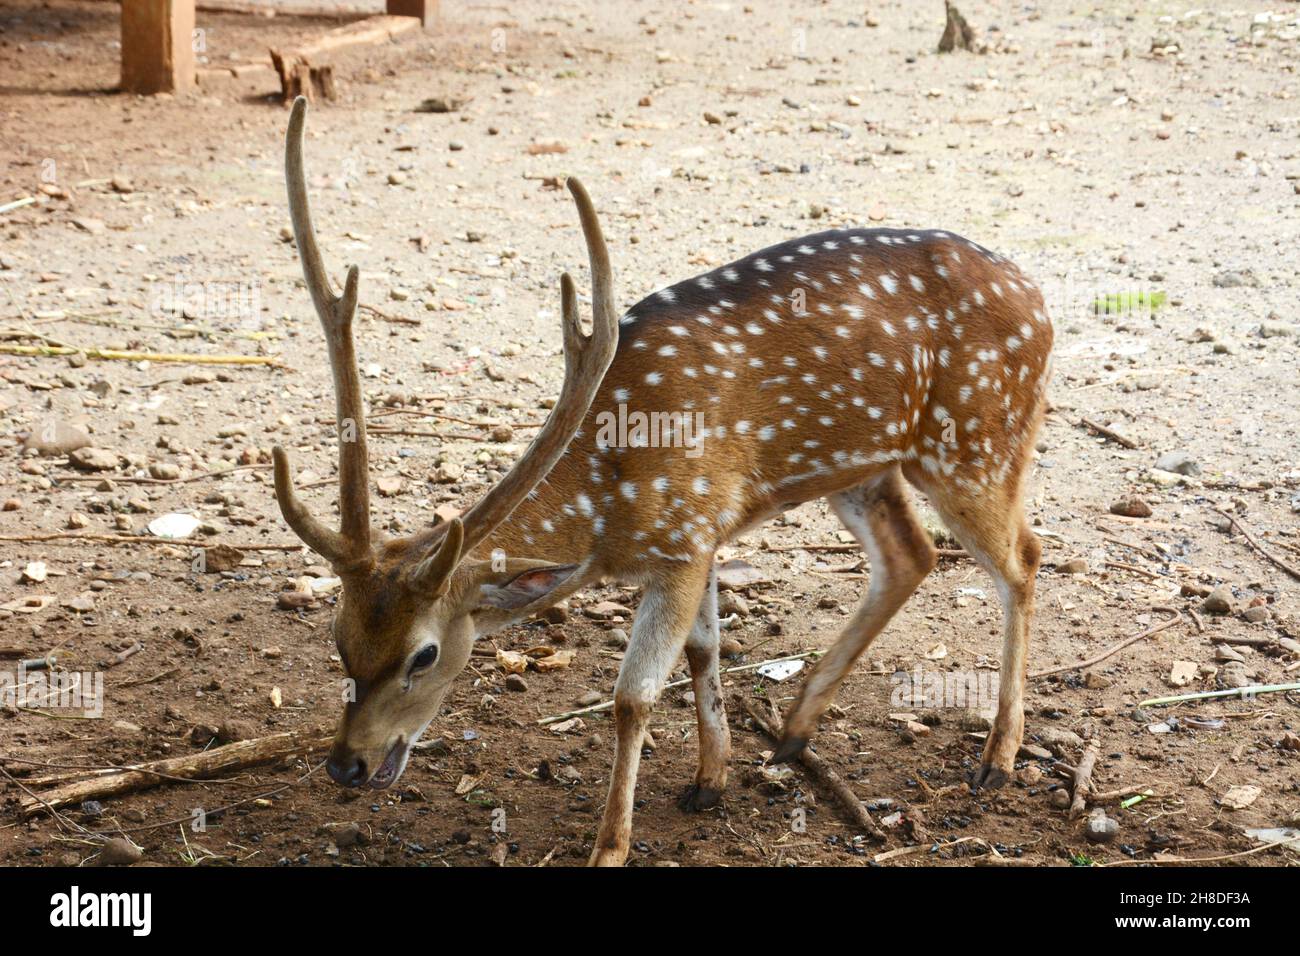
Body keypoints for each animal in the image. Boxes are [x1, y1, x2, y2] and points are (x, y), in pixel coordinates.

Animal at [272, 97, 1054, 867]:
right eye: (339, 636)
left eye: (425, 653)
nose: (346, 764)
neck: (606, 511)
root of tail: (1041, 303)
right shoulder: (703, 535)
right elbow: (705, 649)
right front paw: (711, 779)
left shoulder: (683, 537)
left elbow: (633, 697)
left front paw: (610, 847)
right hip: (862, 465)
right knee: (910, 554)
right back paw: (794, 731)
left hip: (977, 439)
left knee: (1023, 558)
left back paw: (997, 758)